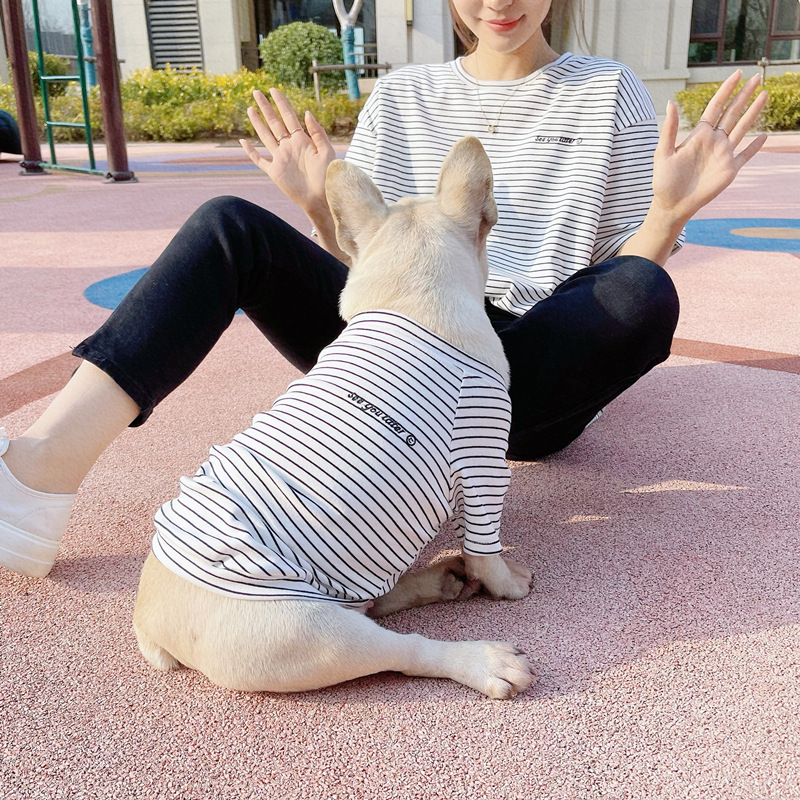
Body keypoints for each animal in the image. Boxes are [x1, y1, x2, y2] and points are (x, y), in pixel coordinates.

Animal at [134, 138, 536, 700]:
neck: (408, 298)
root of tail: (149, 624)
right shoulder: (482, 465)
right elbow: (485, 548)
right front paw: (506, 584)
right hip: (307, 632)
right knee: (397, 649)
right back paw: (481, 659)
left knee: (374, 605)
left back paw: (434, 581)